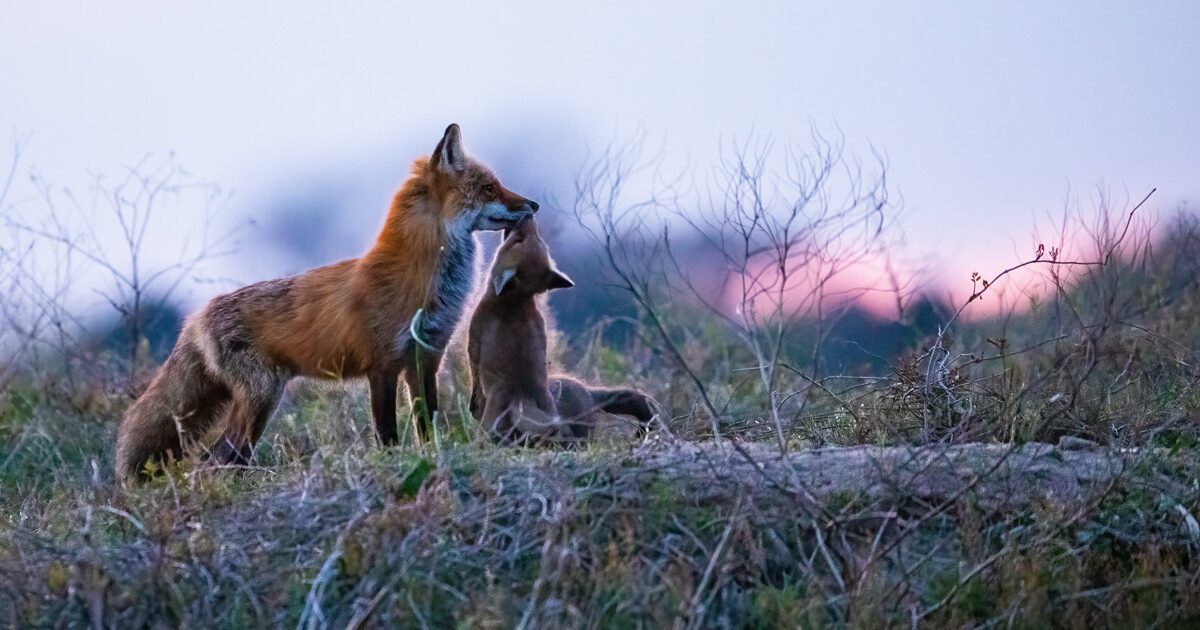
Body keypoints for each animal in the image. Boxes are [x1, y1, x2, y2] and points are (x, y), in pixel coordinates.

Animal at [117, 123, 540, 477]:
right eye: (490, 188)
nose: (534, 205)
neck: (427, 279)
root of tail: (198, 315)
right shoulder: (382, 365)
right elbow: (387, 434)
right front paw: (393, 468)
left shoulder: (424, 359)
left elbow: (427, 424)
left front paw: (434, 458)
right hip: (261, 397)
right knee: (217, 457)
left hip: (257, 401)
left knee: (222, 457)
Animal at [465, 218, 657, 444]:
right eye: (541, 241)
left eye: (519, 239)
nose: (528, 218)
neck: (516, 301)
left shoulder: (475, 338)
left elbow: (474, 378)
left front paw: (473, 406)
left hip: (491, 423)